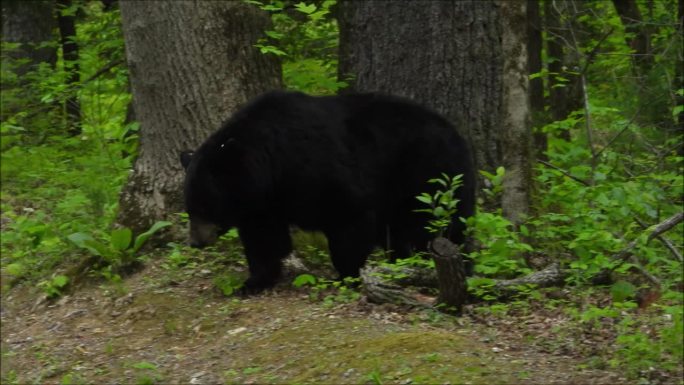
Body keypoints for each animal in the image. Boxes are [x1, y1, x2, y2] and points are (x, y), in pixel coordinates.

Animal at [179, 91, 472, 294]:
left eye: (205, 206)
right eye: (189, 207)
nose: (195, 242)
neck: (272, 165)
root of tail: (458, 133)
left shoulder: (319, 172)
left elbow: (349, 218)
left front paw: (346, 275)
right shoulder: (265, 203)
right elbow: (263, 239)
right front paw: (252, 282)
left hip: (431, 175)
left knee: (441, 226)